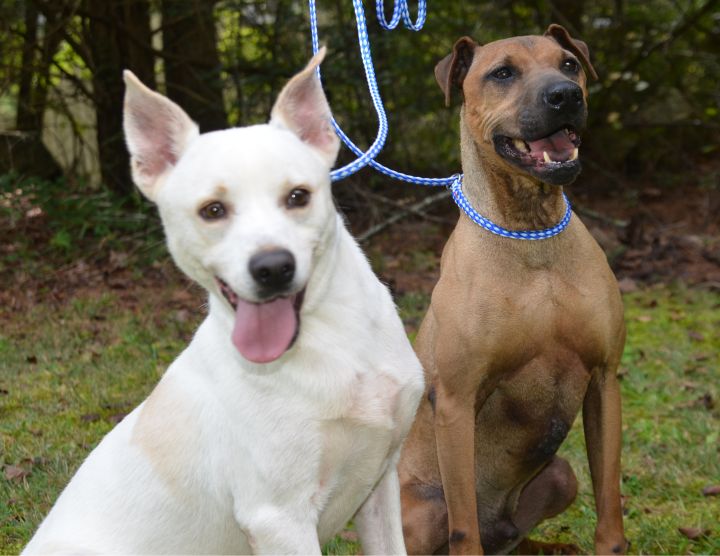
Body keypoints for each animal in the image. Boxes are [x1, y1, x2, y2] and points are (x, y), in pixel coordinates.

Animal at [25, 50, 424, 552]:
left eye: (298, 196)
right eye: (212, 210)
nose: (272, 267)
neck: (331, 340)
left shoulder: (380, 484)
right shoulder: (279, 517)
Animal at [396, 23, 628, 552]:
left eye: (569, 64)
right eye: (502, 73)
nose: (565, 96)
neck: (530, 231)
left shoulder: (604, 379)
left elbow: (610, 505)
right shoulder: (457, 401)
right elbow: (464, 531)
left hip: (562, 476)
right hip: (419, 511)